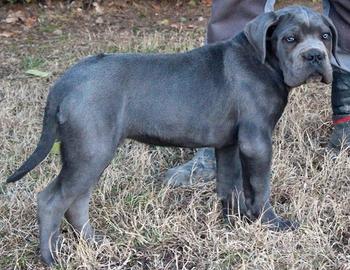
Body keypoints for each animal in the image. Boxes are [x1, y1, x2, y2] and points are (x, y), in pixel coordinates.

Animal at [6, 6, 338, 266]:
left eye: (325, 36)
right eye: (290, 38)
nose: (314, 56)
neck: (264, 61)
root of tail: (67, 80)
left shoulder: (230, 143)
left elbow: (229, 184)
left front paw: (233, 222)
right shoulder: (256, 141)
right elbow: (259, 185)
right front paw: (270, 222)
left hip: (87, 153)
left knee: (76, 202)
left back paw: (95, 244)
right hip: (91, 150)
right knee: (52, 200)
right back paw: (51, 258)